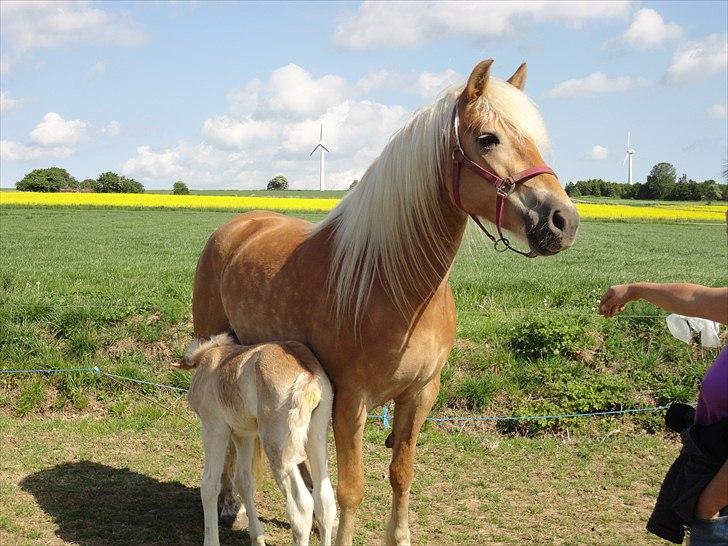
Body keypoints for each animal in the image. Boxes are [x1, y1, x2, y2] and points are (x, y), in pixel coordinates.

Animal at [185, 334, 338, 540]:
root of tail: (308, 375)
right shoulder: (244, 434)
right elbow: (244, 481)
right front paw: (257, 538)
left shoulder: (214, 428)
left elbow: (209, 485)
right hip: (316, 436)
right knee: (325, 500)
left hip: (277, 447)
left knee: (301, 507)